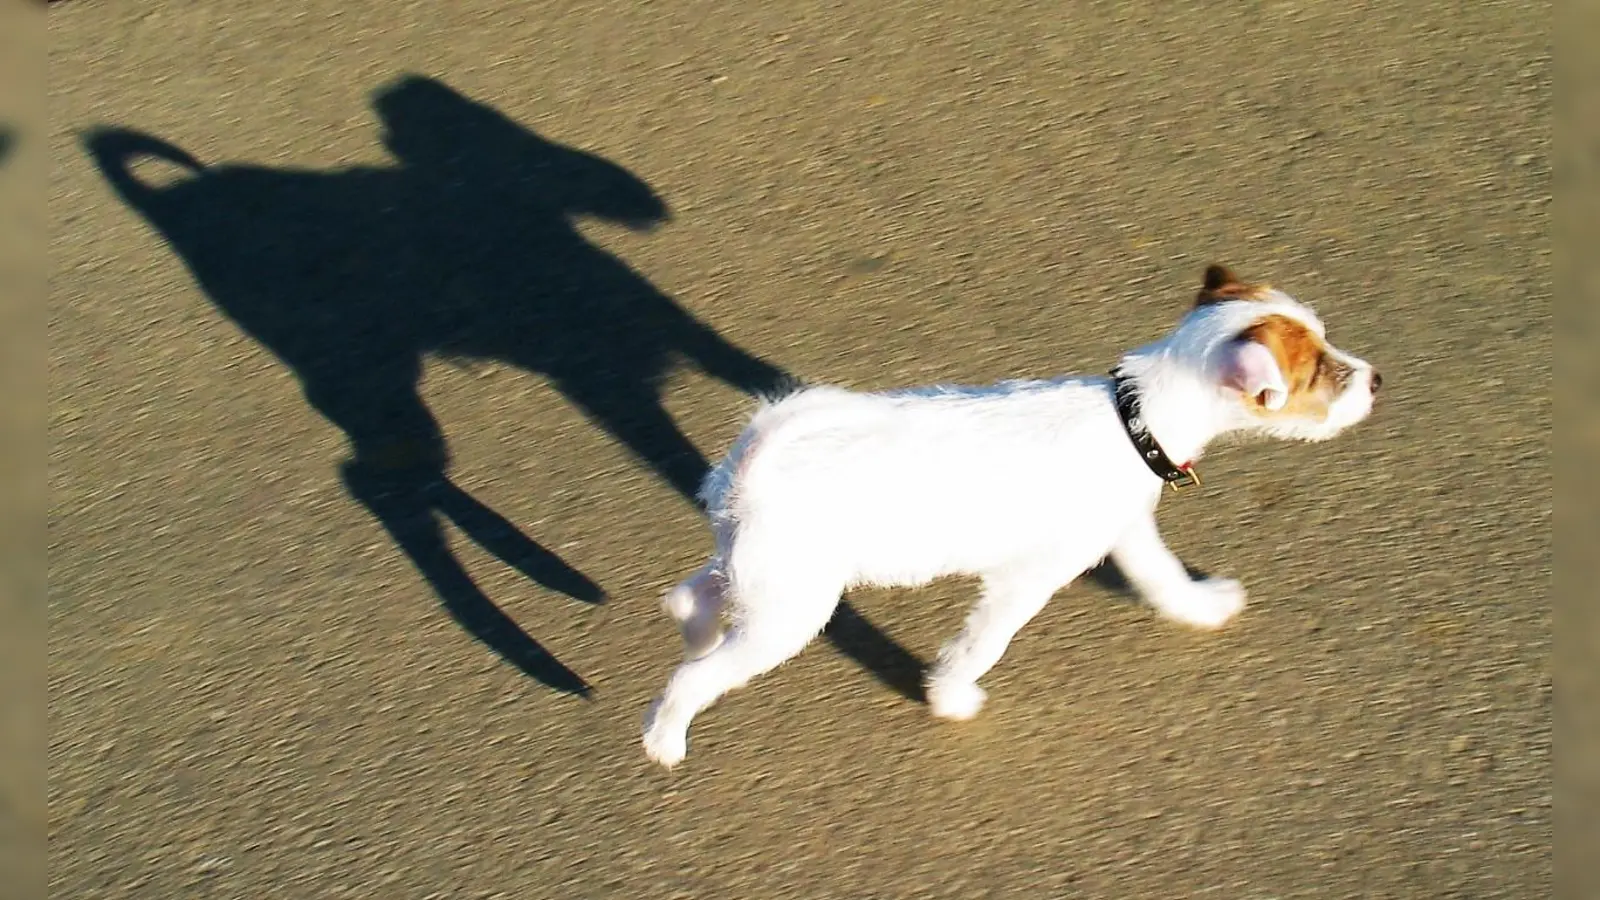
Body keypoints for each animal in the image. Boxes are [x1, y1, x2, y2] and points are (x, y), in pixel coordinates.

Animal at [643, 264, 1382, 762]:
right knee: (692, 676)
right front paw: (950, 697)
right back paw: (665, 737)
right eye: (1318, 371)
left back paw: (695, 631)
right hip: (790, 611)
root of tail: (759, 454)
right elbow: (984, 643)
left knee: (690, 595)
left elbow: (1163, 578)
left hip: (760, 575)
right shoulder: (1027, 579)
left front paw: (1201, 607)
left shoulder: (1127, 533)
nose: (1377, 379)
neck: (1135, 415)